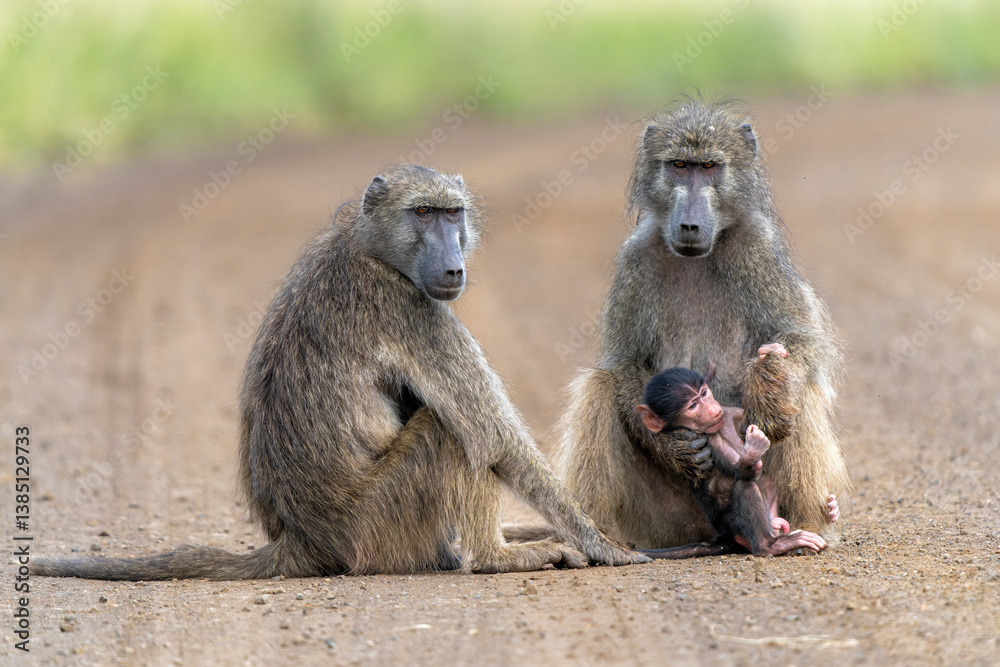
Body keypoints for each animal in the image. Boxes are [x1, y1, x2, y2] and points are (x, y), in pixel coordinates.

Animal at [32, 164, 648, 580]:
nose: (453, 266)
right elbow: (494, 438)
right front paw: (603, 545)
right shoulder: (411, 309)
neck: (369, 246)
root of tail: (304, 541)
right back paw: (496, 557)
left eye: (453, 213)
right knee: (452, 430)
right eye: (423, 213)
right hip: (376, 527)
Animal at [634, 352, 832, 559]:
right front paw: (754, 448)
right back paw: (771, 546)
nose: (713, 410)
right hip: (735, 525)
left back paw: (828, 512)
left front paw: (768, 356)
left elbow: (751, 418)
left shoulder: (730, 412)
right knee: (745, 485)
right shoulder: (706, 440)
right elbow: (744, 472)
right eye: (693, 406)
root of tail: (727, 537)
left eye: (704, 393)